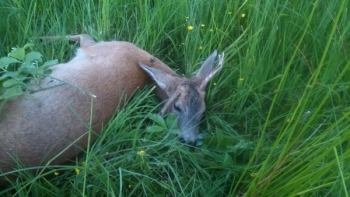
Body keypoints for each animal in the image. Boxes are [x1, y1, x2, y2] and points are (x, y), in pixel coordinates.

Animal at [0, 33, 224, 177]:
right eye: (177, 107)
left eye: (202, 112)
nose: (190, 141)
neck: (142, 65)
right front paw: (40, 39)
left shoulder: (96, 47)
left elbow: (83, 34)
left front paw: (39, 39)